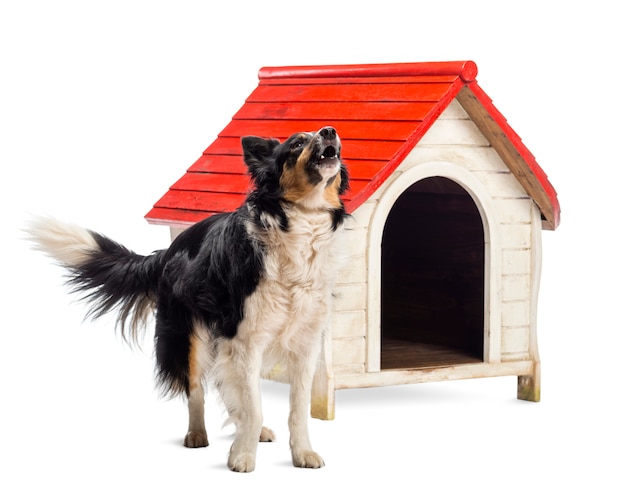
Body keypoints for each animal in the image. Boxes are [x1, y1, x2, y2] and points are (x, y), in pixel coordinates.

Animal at [26, 126, 348, 470]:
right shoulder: (244, 338)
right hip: (187, 339)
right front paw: (243, 456)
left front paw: (302, 453)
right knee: (196, 390)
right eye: (297, 143)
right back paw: (197, 434)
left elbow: (297, 409)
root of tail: (167, 251)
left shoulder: (305, 343)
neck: (301, 224)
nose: (330, 131)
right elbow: (252, 404)